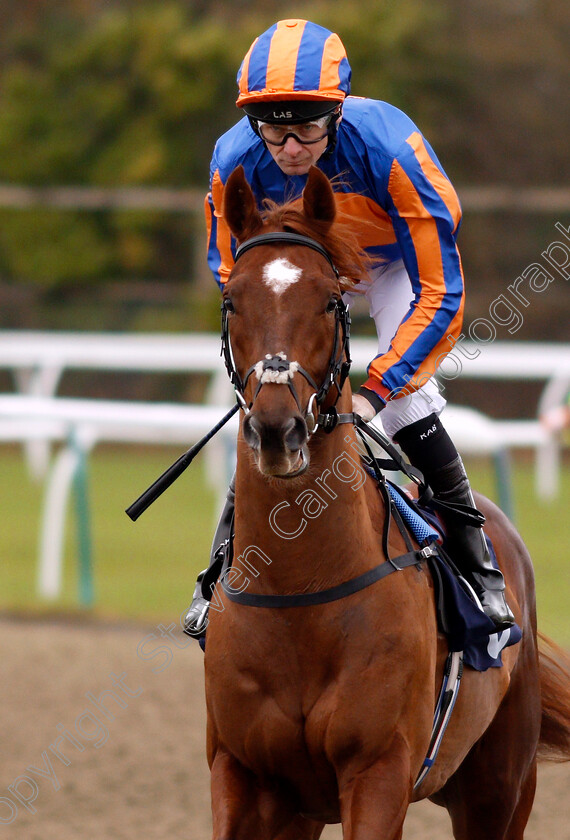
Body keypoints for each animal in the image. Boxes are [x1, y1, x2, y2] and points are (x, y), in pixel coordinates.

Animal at [201, 166, 568, 840]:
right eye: (232, 299)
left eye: (329, 299)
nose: (277, 430)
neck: (300, 592)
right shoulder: (242, 775)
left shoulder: (378, 771)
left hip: (500, 786)